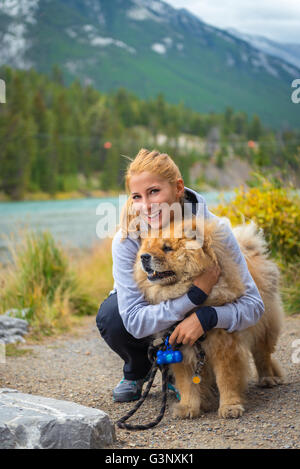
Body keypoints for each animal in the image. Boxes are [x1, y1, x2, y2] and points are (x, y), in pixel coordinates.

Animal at [133, 218, 284, 418]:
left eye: (167, 248)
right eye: (148, 248)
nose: (144, 257)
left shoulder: (225, 346)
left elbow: (226, 379)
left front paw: (230, 407)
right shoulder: (179, 347)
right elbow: (188, 383)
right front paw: (188, 407)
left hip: (264, 326)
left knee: (262, 355)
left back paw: (268, 378)